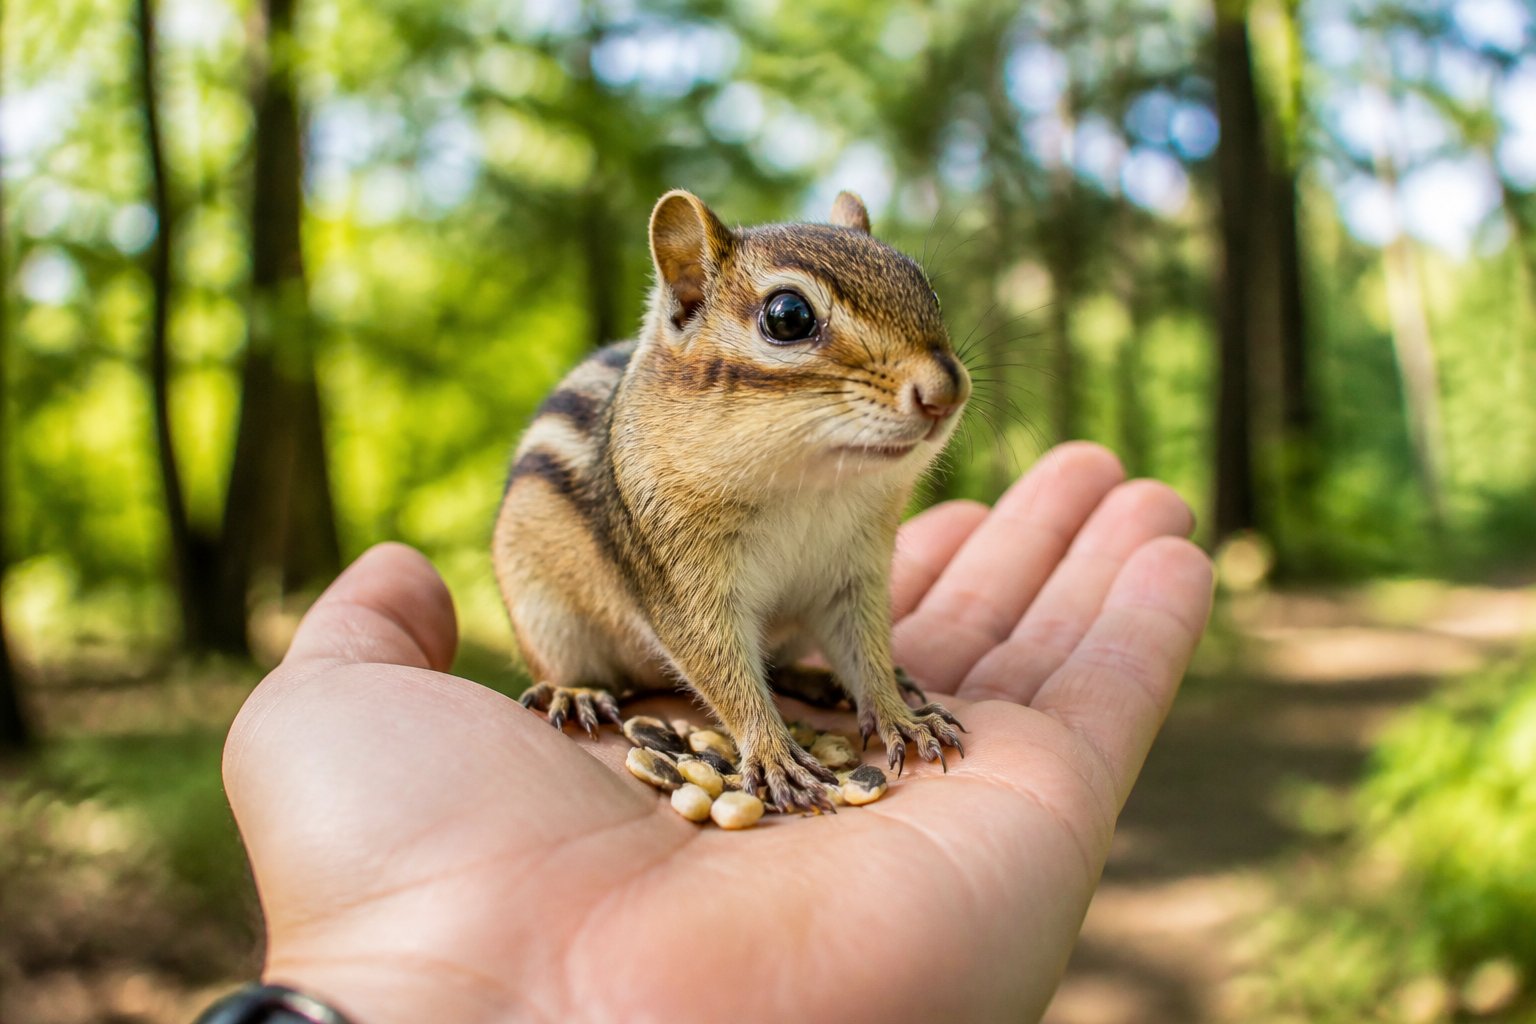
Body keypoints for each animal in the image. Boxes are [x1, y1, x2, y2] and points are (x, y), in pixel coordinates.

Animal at [493, 189, 970, 813]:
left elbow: (865, 652)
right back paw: (575, 692)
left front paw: (901, 715)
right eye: (789, 317)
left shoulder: (853, 575)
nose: (946, 391)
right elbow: (721, 670)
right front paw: (773, 753)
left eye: (926, 289)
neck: (809, 487)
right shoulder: (681, 582)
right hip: (545, 618)